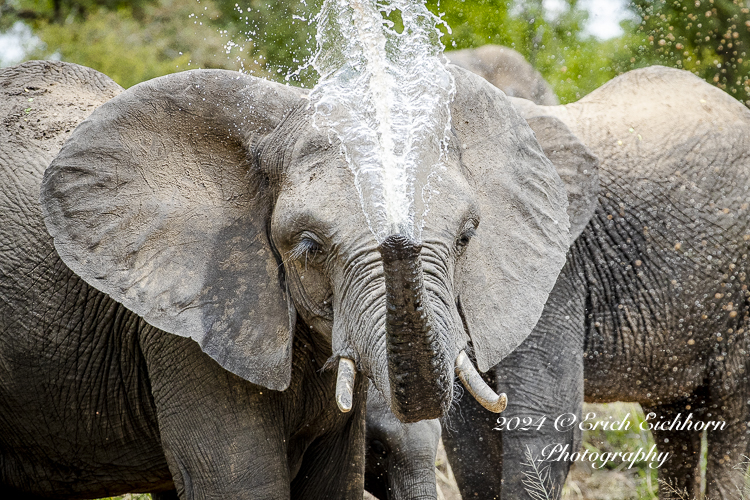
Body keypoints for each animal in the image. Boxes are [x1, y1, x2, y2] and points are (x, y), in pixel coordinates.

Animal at [444, 64, 750, 498]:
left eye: (463, 234)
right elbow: (466, 436)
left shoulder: (557, 267)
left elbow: (543, 420)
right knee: (673, 418)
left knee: (730, 409)